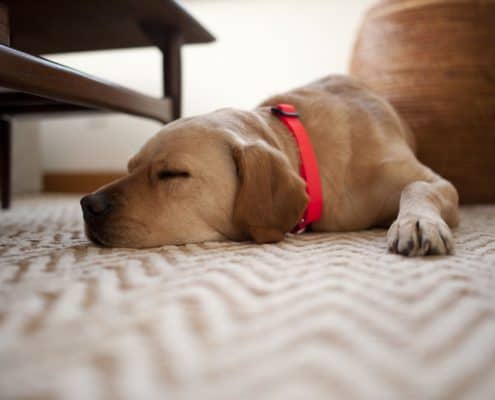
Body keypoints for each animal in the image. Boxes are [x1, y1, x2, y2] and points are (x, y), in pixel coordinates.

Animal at [82, 75, 462, 256]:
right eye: (129, 167)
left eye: (172, 174)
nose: (87, 204)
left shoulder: (437, 183)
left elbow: (416, 186)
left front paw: (416, 222)